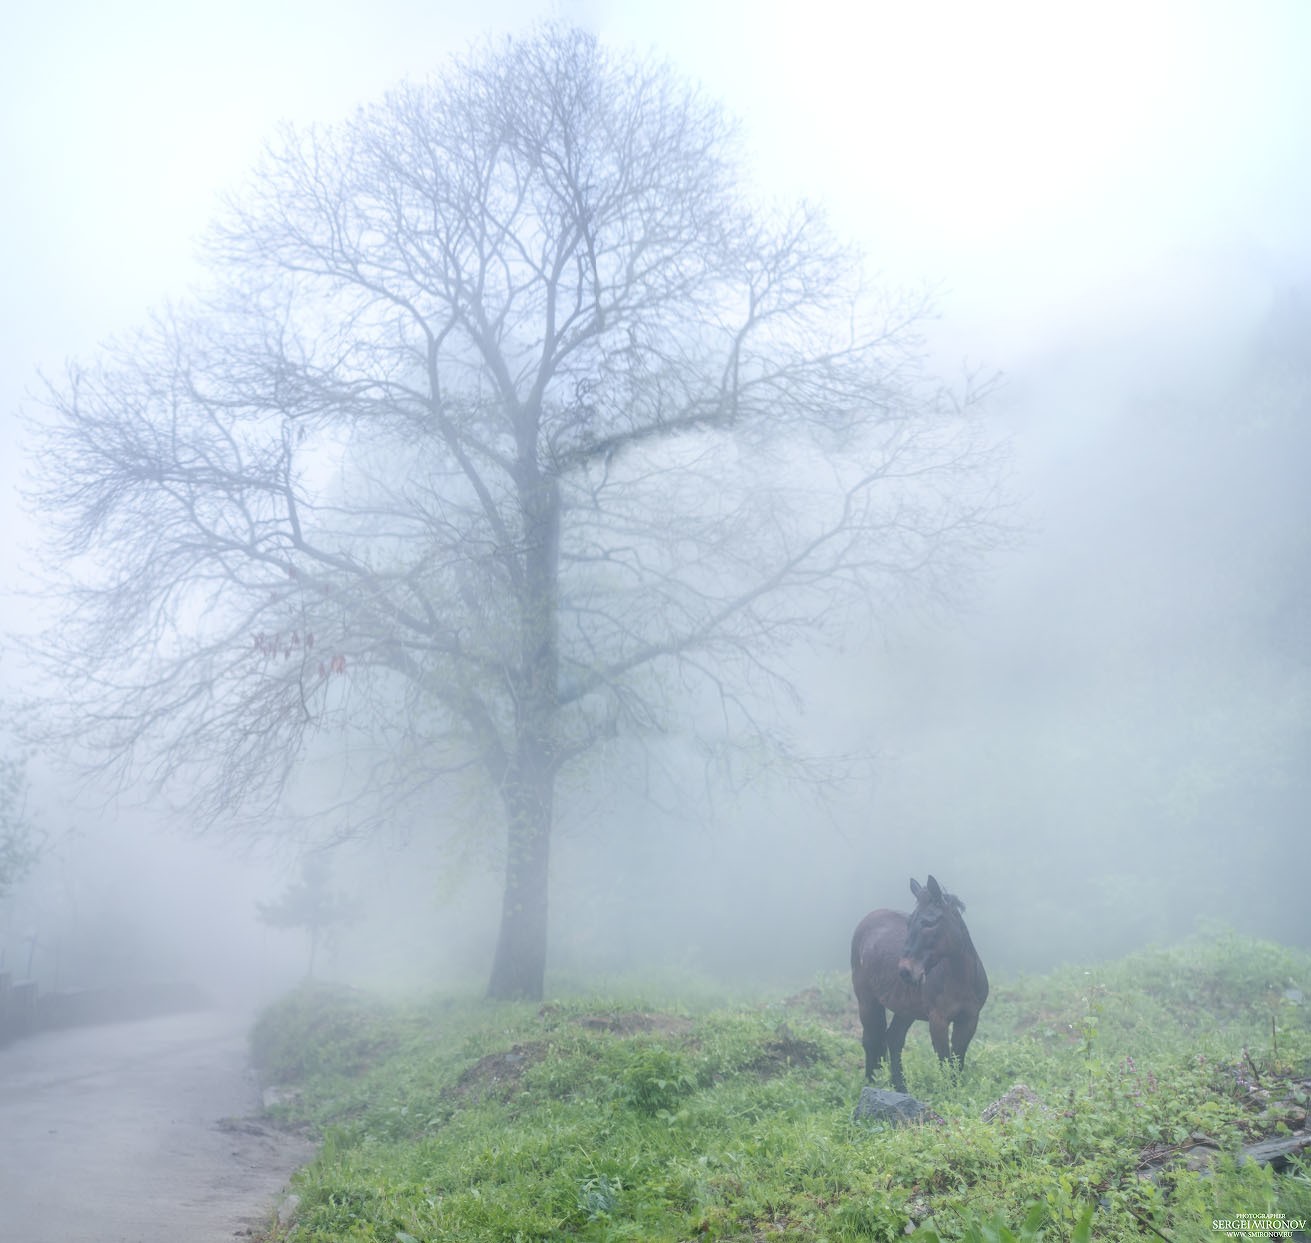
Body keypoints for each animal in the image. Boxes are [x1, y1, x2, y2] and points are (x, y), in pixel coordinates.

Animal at [849, 875, 985, 1085]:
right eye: (909, 923)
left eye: (929, 923)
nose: (905, 971)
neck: (960, 980)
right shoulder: (938, 1021)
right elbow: (945, 1062)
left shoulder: (969, 1019)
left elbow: (956, 1063)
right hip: (867, 1001)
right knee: (871, 1040)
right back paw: (873, 1083)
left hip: (906, 1009)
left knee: (893, 1039)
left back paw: (900, 1087)